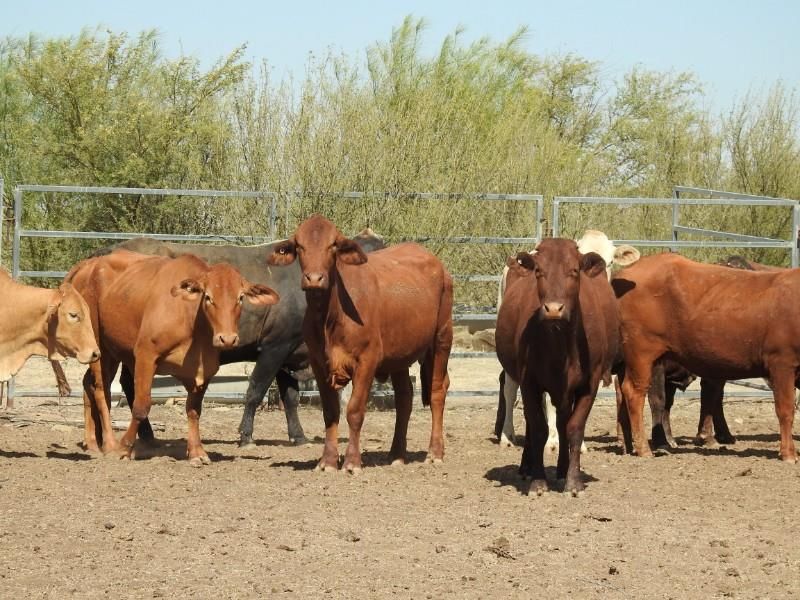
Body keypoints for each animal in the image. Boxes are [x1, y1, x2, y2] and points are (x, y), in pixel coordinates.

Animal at [66, 250, 278, 463]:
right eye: (208, 297)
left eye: (241, 297)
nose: (227, 339)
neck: (191, 322)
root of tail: (89, 264)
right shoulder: (145, 355)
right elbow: (141, 407)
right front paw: (125, 447)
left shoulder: (205, 369)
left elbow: (194, 410)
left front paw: (197, 451)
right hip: (96, 345)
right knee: (101, 390)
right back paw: (110, 444)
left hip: (111, 351)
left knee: (89, 384)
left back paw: (93, 442)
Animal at [267, 214, 453, 473]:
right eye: (300, 246)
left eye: (333, 245)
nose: (314, 279)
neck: (330, 317)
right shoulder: (319, 363)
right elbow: (330, 412)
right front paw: (328, 461)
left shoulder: (367, 360)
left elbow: (354, 411)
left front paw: (352, 461)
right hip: (400, 355)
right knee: (404, 397)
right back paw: (397, 454)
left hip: (441, 339)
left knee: (437, 391)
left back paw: (435, 452)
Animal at [495, 238, 620, 495]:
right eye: (539, 271)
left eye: (574, 270)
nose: (553, 309)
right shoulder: (530, 382)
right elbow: (539, 428)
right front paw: (538, 481)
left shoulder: (589, 384)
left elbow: (574, 428)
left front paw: (573, 481)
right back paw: (526, 466)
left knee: (562, 424)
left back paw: (562, 471)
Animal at [613, 252, 800, 462]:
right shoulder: (782, 363)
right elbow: (786, 409)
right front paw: (789, 453)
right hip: (642, 354)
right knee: (634, 392)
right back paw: (644, 449)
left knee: (623, 392)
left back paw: (627, 445)